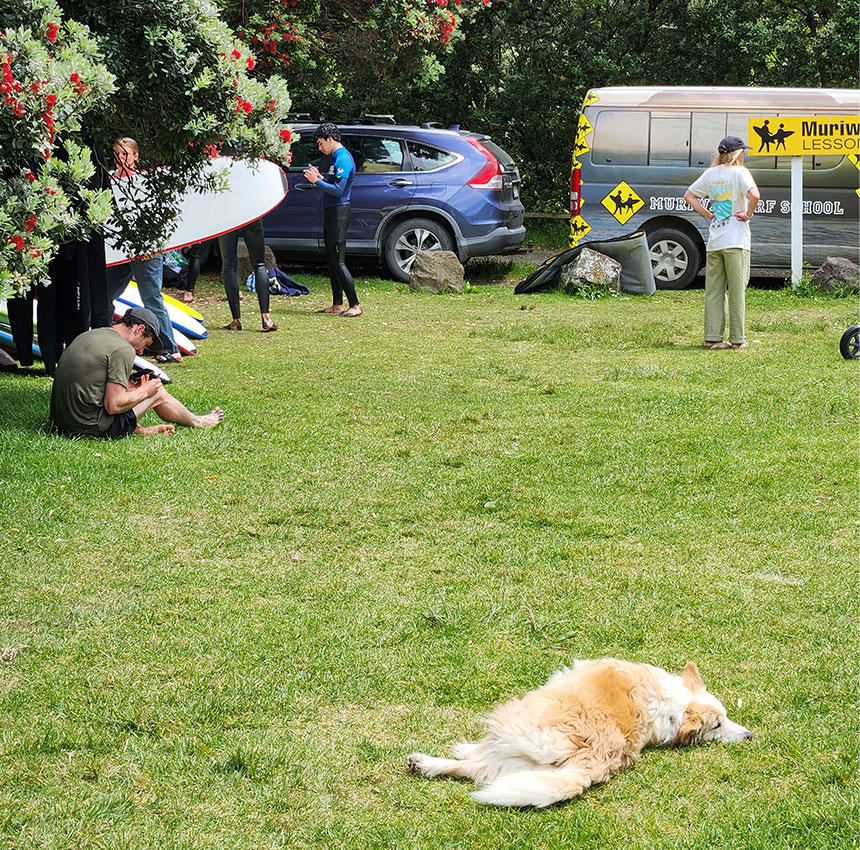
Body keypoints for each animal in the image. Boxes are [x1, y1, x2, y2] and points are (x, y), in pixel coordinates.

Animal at [410, 656, 752, 808]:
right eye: (720, 723)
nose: (749, 735)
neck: (673, 705)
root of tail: (590, 761)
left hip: (517, 718)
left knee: (479, 760)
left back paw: (426, 761)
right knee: (474, 769)